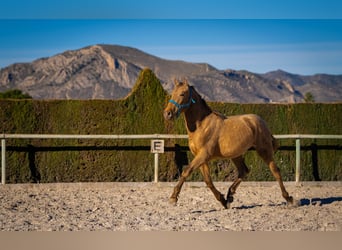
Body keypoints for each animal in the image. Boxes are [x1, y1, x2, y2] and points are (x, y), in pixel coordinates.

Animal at [164, 80, 296, 209]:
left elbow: (187, 171)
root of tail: (261, 121)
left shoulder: (203, 155)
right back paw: (230, 195)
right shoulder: (201, 158)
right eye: (172, 94)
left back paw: (289, 199)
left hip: (264, 150)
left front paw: (173, 198)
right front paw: (223, 201)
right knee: (244, 171)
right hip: (236, 155)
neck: (201, 125)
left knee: (275, 171)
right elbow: (208, 181)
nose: (167, 114)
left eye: (182, 94)